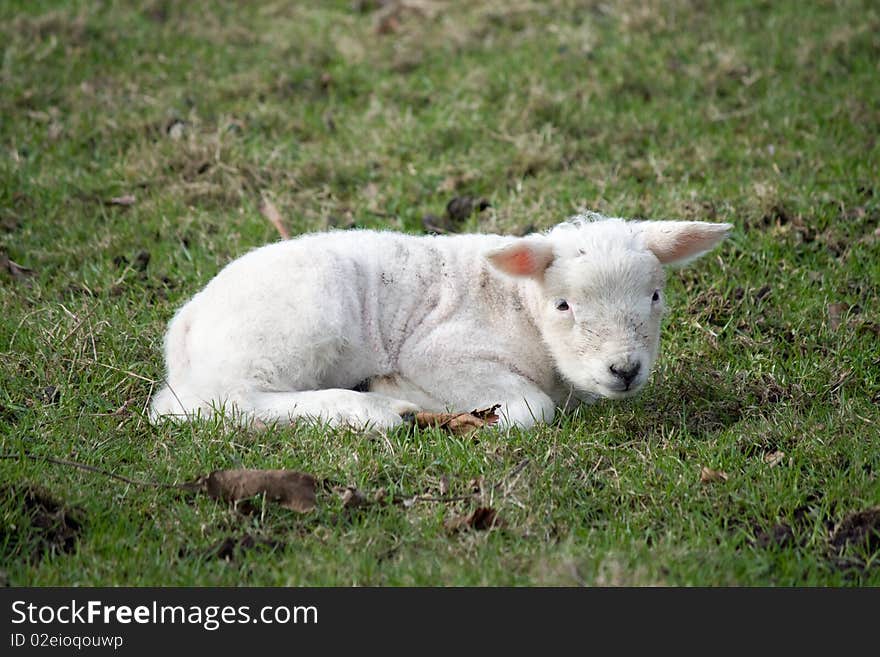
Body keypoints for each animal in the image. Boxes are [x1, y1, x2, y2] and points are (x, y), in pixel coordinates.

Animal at [150, 215, 728, 430]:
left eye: (655, 296)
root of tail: (186, 326)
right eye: (563, 305)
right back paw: (374, 410)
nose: (624, 370)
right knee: (228, 403)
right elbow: (532, 410)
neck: (518, 308)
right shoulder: (439, 351)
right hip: (297, 323)